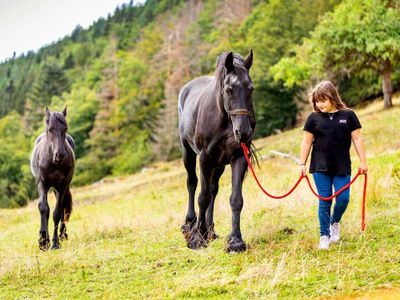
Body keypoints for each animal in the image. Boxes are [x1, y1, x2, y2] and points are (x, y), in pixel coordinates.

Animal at [30, 106, 75, 250]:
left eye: (65, 128)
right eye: (50, 129)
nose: (60, 155)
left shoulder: (62, 186)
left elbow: (57, 213)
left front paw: (55, 243)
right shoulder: (42, 184)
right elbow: (44, 208)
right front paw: (43, 241)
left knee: (63, 209)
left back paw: (62, 235)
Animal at [179, 50, 256, 252]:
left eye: (251, 89)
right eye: (228, 89)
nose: (243, 132)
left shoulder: (239, 157)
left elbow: (235, 199)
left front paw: (235, 241)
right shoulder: (204, 158)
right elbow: (202, 197)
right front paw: (197, 238)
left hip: (219, 164)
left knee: (213, 189)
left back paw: (210, 230)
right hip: (188, 153)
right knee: (192, 183)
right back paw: (190, 224)